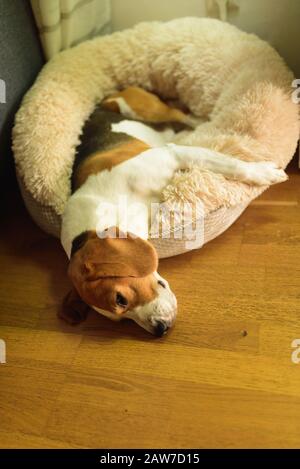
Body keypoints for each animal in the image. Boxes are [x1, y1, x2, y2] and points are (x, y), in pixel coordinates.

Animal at [59, 85, 288, 332]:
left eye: (120, 299)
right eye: (121, 318)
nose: (160, 329)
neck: (113, 203)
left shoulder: (174, 155)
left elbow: (234, 166)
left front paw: (263, 173)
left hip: (144, 109)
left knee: (185, 117)